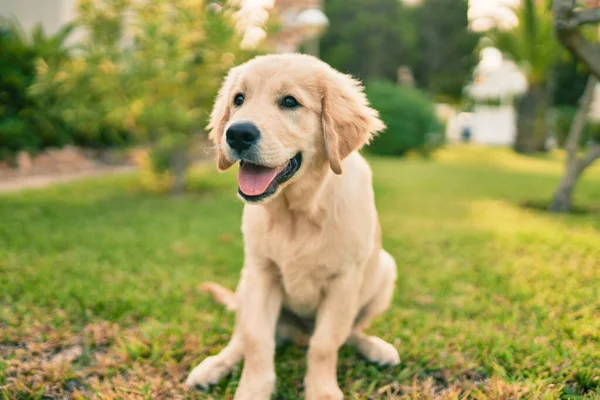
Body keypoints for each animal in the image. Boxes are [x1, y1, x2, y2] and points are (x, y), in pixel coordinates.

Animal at [186, 54, 398, 400]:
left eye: (289, 102)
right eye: (239, 99)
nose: (237, 134)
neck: (297, 211)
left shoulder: (343, 281)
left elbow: (325, 344)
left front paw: (322, 391)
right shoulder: (262, 273)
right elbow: (257, 340)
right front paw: (252, 390)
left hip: (384, 271)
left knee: (349, 332)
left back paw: (376, 348)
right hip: (246, 282)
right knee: (242, 337)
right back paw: (214, 366)